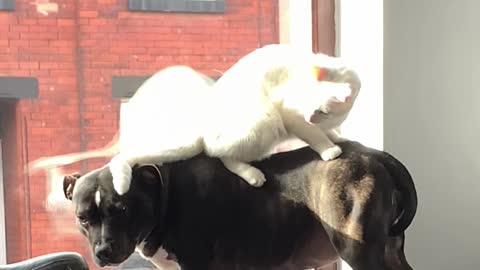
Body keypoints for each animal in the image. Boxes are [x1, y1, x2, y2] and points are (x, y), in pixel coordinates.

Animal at [62, 141, 416, 270]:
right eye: (83, 218)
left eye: (122, 210)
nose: (103, 251)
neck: (164, 195)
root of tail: (373, 154)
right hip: (389, 252)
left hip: (358, 250)